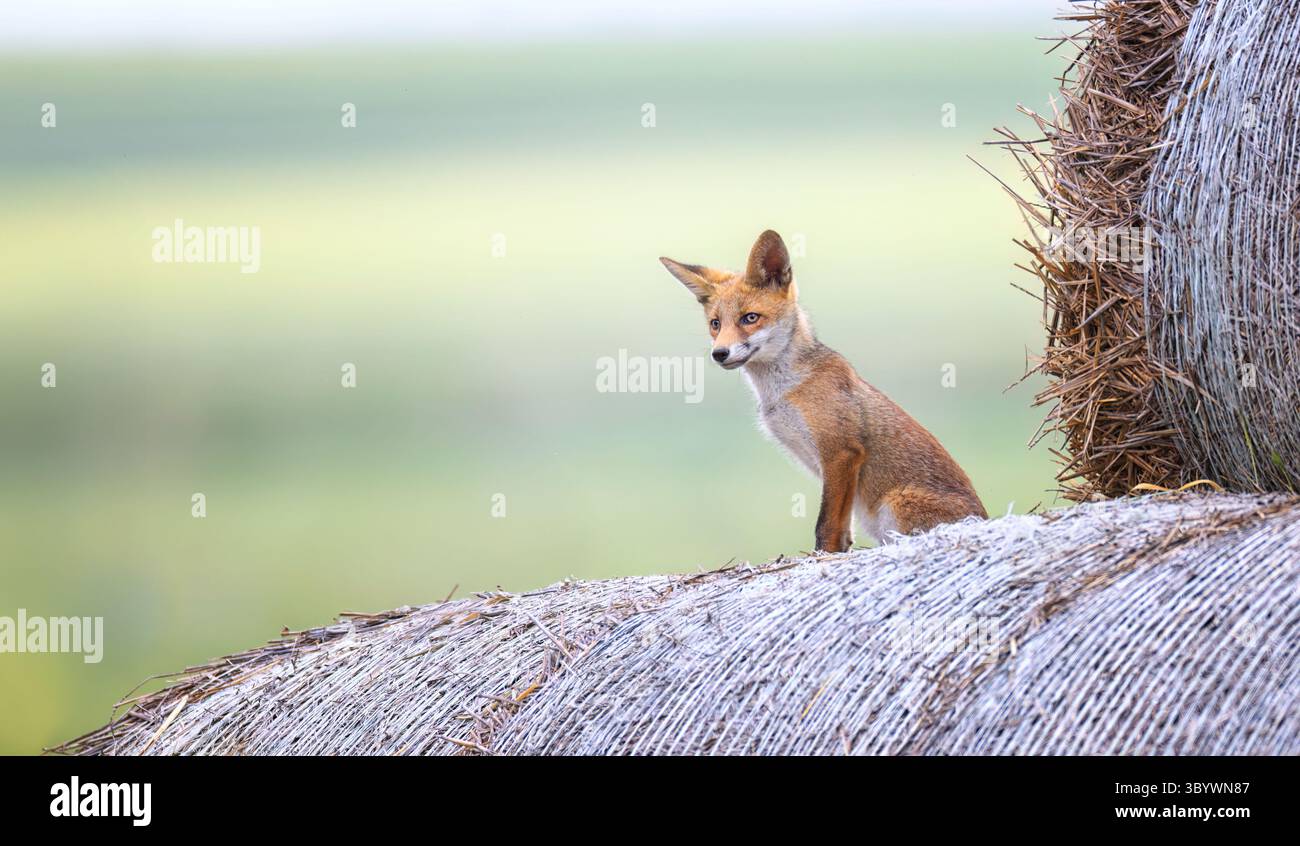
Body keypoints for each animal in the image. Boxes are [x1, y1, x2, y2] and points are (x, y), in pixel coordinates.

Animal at [660, 230, 986, 552]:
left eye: (750, 318)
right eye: (715, 324)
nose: (719, 353)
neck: (782, 392)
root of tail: (983, 518)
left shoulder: (840, 452)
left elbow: (826, 526)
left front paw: (822, 556)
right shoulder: (828, 466)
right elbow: (842, 530)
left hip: (898, 503)